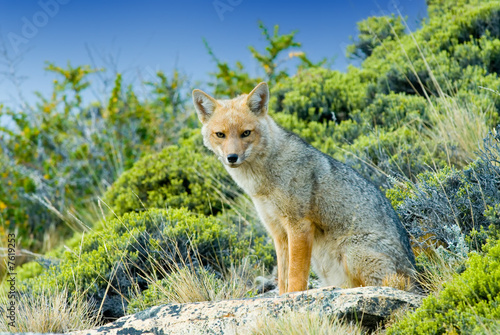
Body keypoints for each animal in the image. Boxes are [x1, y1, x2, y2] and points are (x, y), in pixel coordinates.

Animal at [193, 82, 416, 296]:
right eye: (220, 134)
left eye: (245, 133)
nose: (232, 157)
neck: (263, 182)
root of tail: (415, 270)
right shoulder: (278, 232)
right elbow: (283, 277)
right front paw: (282, 298)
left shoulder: (298, 226)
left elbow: (295, 276)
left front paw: (293, 298)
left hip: (350, 251)